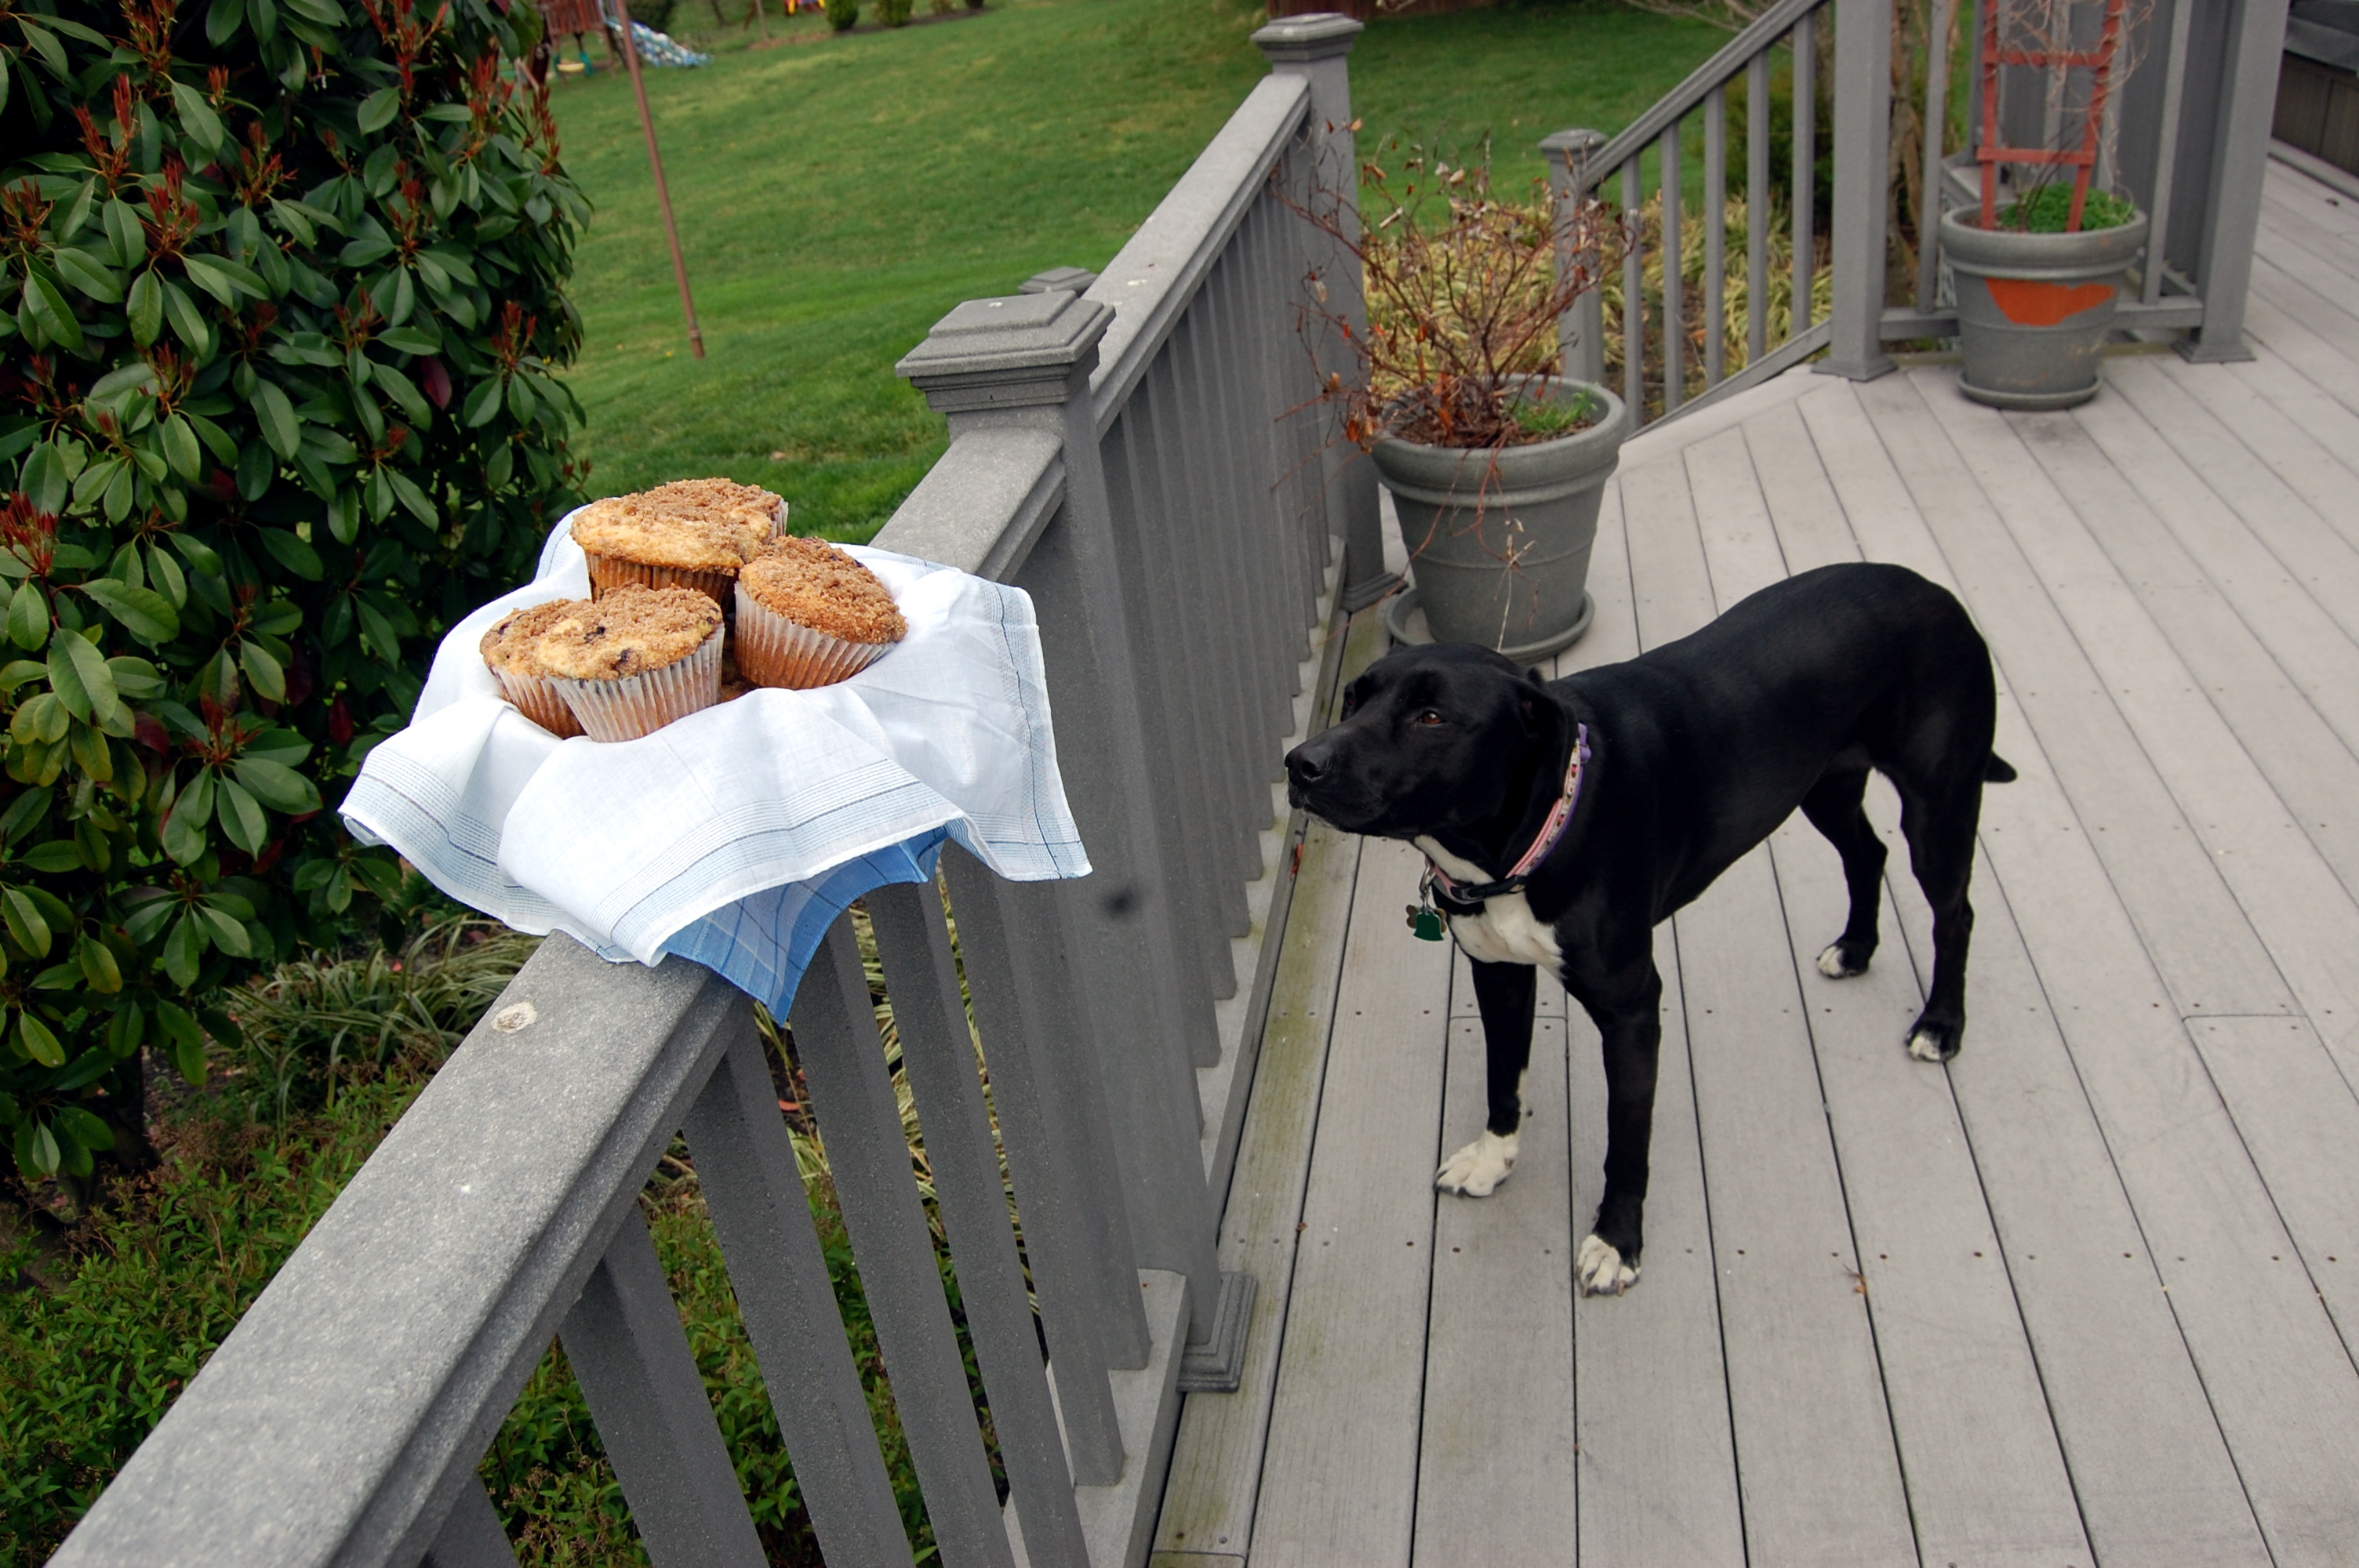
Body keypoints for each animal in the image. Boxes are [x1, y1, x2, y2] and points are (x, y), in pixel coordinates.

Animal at [1283, 562, 2014, 1296]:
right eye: (1353, 699)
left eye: (1431, 717)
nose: (1300, 764)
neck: (1532, 835)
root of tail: (1927, 586)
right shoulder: (1498, 973)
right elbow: (1503, 1079)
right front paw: (1493, 1159)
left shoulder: (1632, 1010)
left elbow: (1626, 1138)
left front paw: (1617, 1241)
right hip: (1826, 786)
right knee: (1868, 854)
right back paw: (1858, 947)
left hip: (1938, 804)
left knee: (1955, 912)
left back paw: (1941, 1024)